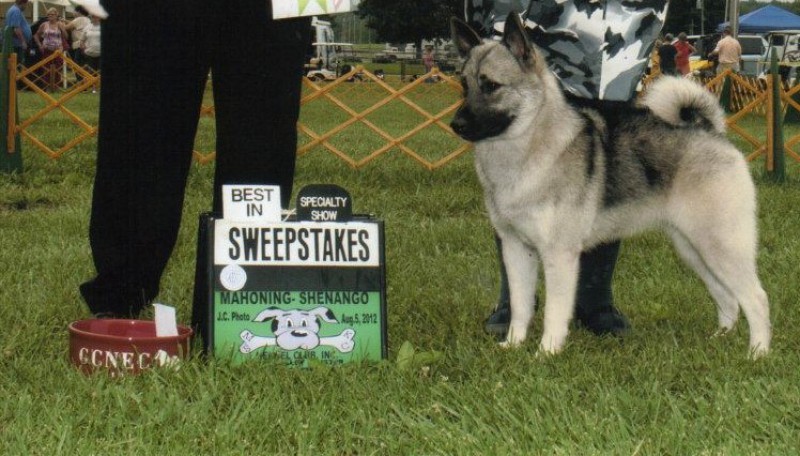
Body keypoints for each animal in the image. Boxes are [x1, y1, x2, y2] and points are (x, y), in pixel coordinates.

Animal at [450, 14, 768, 358]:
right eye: (464, 85)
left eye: (491, 86)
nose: (456, 124)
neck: (529, 146)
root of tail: (712, 134)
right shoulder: (515, 248)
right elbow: (521, 305)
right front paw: (513, 344)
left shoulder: (559, 254)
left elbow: (554, 312)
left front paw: (546, 353)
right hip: (693, 249)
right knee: (727, 296)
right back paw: (720, 338)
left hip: (721, 244)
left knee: (756, 298)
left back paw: (758, 353)